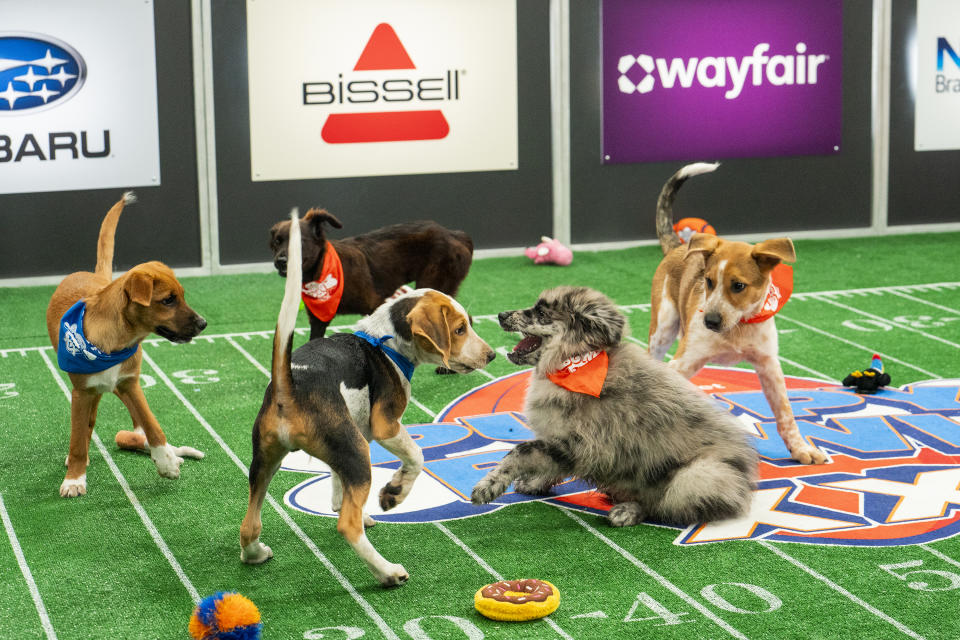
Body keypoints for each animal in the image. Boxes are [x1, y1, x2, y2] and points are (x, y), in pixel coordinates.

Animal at [46, 192, 207, 498]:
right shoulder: (81, 393)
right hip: (90, 390)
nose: (203, 324)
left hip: (119, 387)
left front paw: (166, 461)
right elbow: (77, 438)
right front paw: (74, 479)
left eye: (181, 295)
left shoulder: (130, 383)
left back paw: (173, 452)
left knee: (136, 429)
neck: (116, 341)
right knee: (89, 425)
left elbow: (152, 425)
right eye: (168, 300)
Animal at [268, 209, 474, 340]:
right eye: (277, 241)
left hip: (433, 284)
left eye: (300, 242)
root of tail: (456, 235)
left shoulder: (374, 303)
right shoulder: (318, 320)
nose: (281, 261)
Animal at [472, 288, 756, 528]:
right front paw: (533, 483)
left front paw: (489, 485)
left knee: (664, 505)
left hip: (699, 474)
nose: (501, 315)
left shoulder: (581, 445)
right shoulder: (563, 442)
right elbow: (547, 465)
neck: (576, 363)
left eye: (541, 314)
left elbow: (520, 452)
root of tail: (743, 482)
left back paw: (628, 510)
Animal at [644, 164, 824, 464]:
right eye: (708, 281)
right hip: (663, 328)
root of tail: (678, 246)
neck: (738, 328)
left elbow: (785, 413)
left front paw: (801, 448)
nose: (709, 321)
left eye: (738, 286)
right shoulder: (682, 362)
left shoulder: (768, 364)